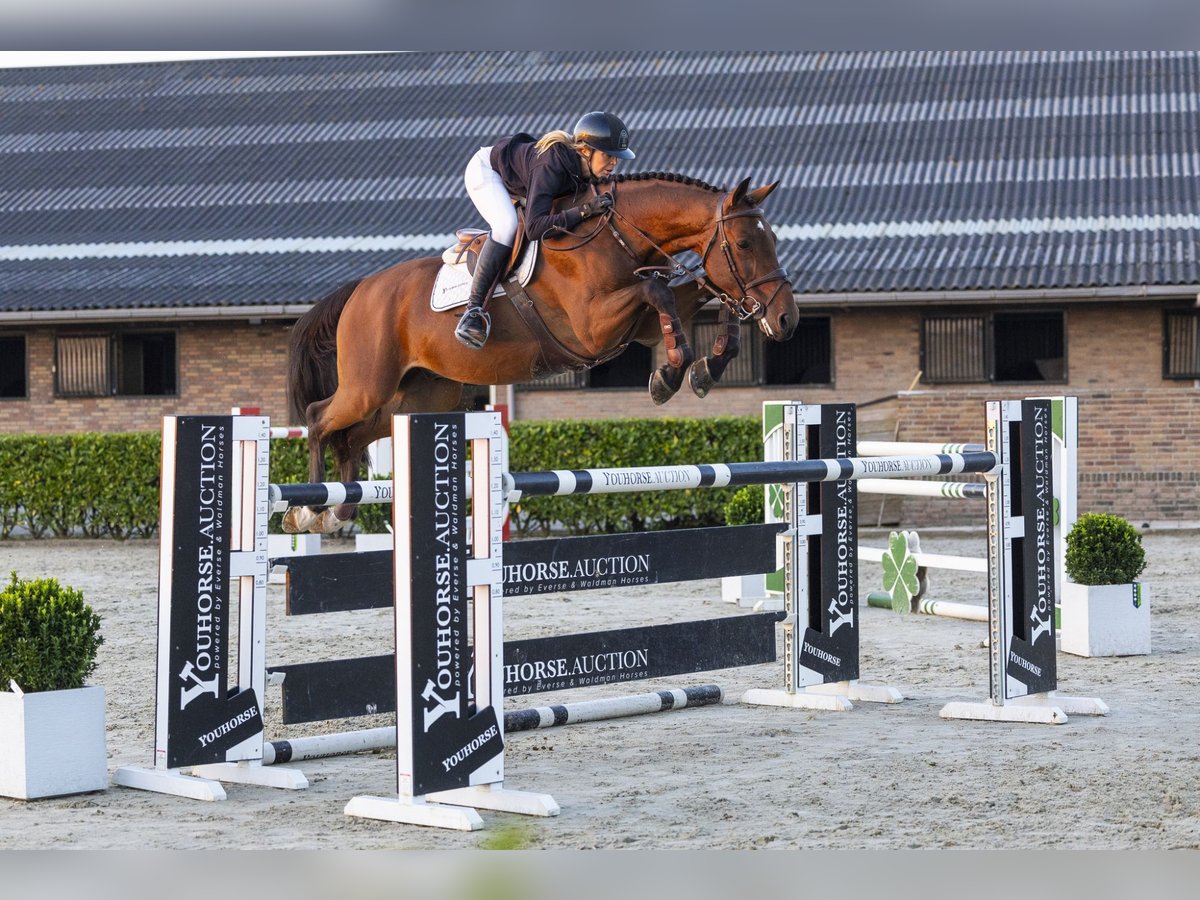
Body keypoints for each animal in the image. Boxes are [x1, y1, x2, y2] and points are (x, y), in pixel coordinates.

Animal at [283, 172, 796, 532]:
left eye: (772, 240)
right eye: (745, 243)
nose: (787, 319)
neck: (616, 235)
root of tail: (359, 290)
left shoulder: (643, 328)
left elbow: (700, 297)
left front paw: (706, 368)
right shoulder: (594, 327)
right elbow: (659, 291)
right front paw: (668, 378)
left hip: (418, 396)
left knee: (351, 437)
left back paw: (340, 509)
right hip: (369, 386)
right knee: (318, 417)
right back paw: (307, 512)